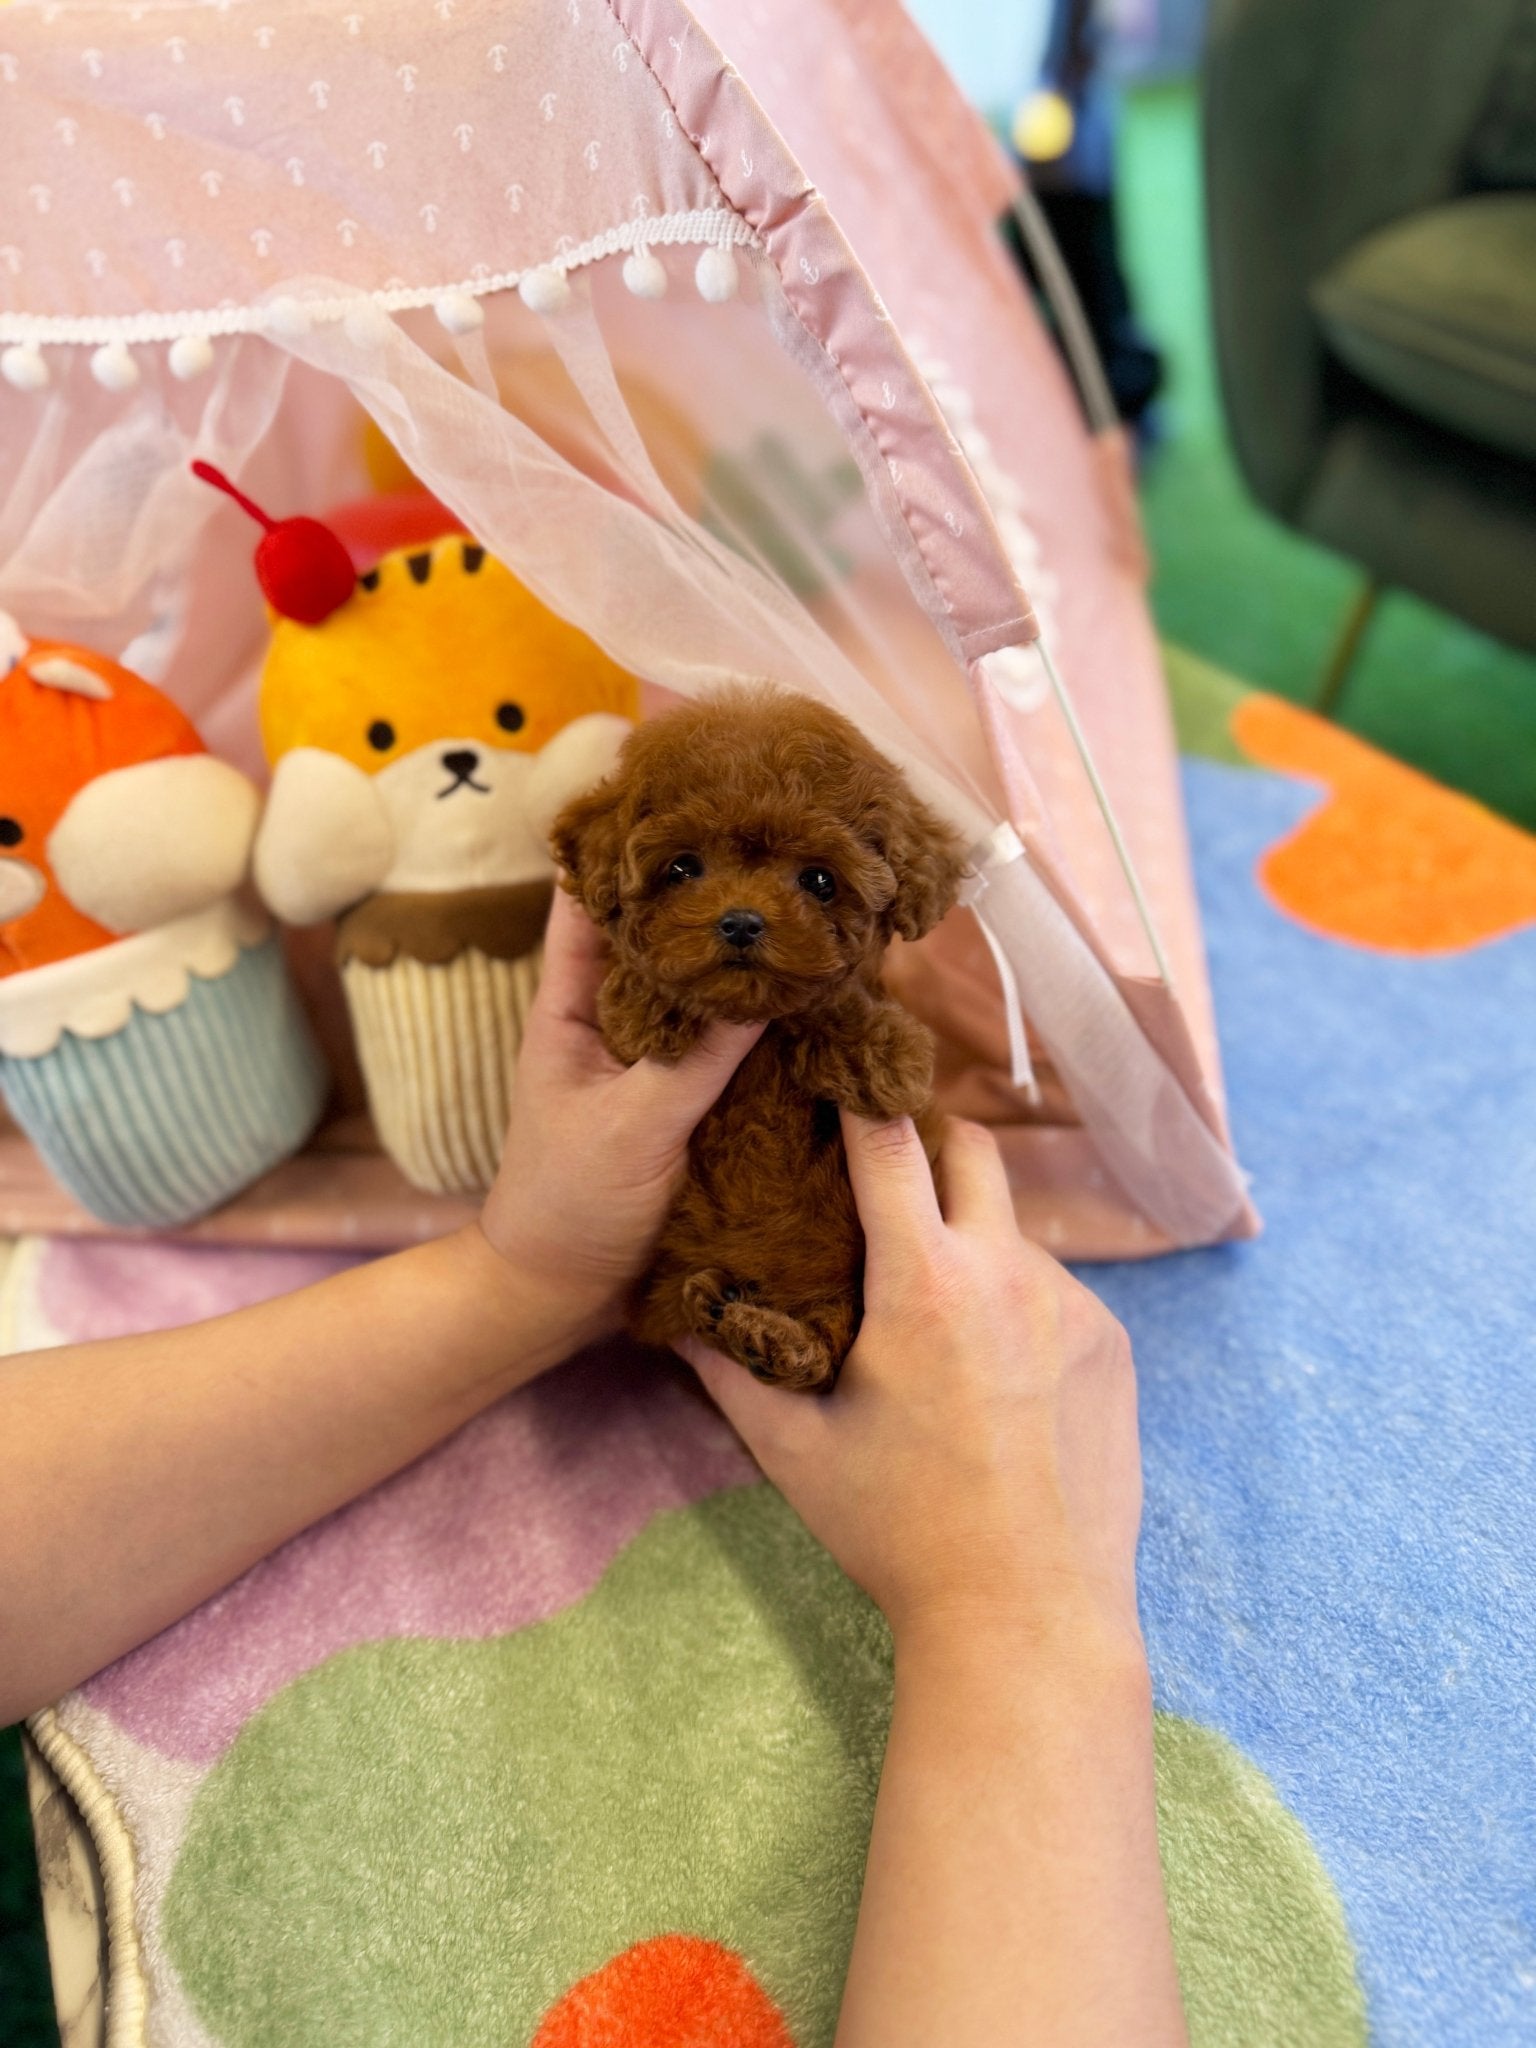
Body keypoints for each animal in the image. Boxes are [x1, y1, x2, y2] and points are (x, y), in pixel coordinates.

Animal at [548, 688, 962, 1392]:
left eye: (820, 880)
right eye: (682, 867)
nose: (741, 922)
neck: (754, 1030)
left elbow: (836, 1011)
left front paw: (878, 1054)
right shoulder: (620, 1056)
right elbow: (631, 1014)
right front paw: (655, 1001)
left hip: (847, 1282)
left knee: (830, 1344)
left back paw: (766, 1338)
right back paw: (729, 1317)